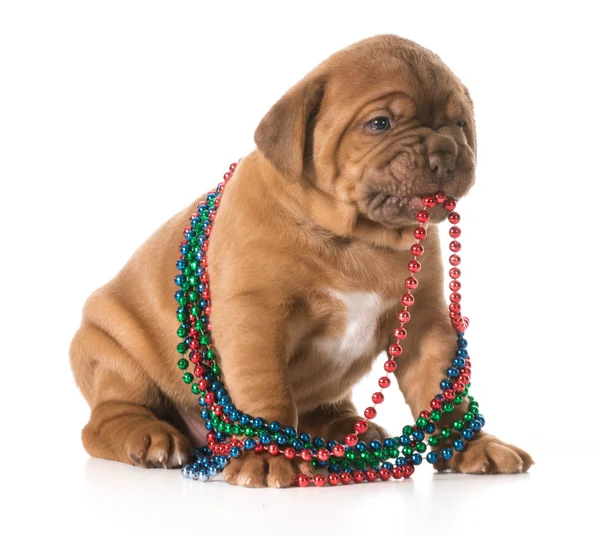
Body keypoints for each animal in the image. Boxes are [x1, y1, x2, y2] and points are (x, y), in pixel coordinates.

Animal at [70, 33, 536, 486]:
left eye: (459, 124)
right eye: (379, 123)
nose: (446, 150)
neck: (358, 238)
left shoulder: (426, 321)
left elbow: (444, 392)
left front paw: (471, 445)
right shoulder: (255, 317)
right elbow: (266, 389)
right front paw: (267, 455)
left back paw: (350, 430)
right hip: (111, 351)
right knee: (106, 418)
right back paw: (150, 436)